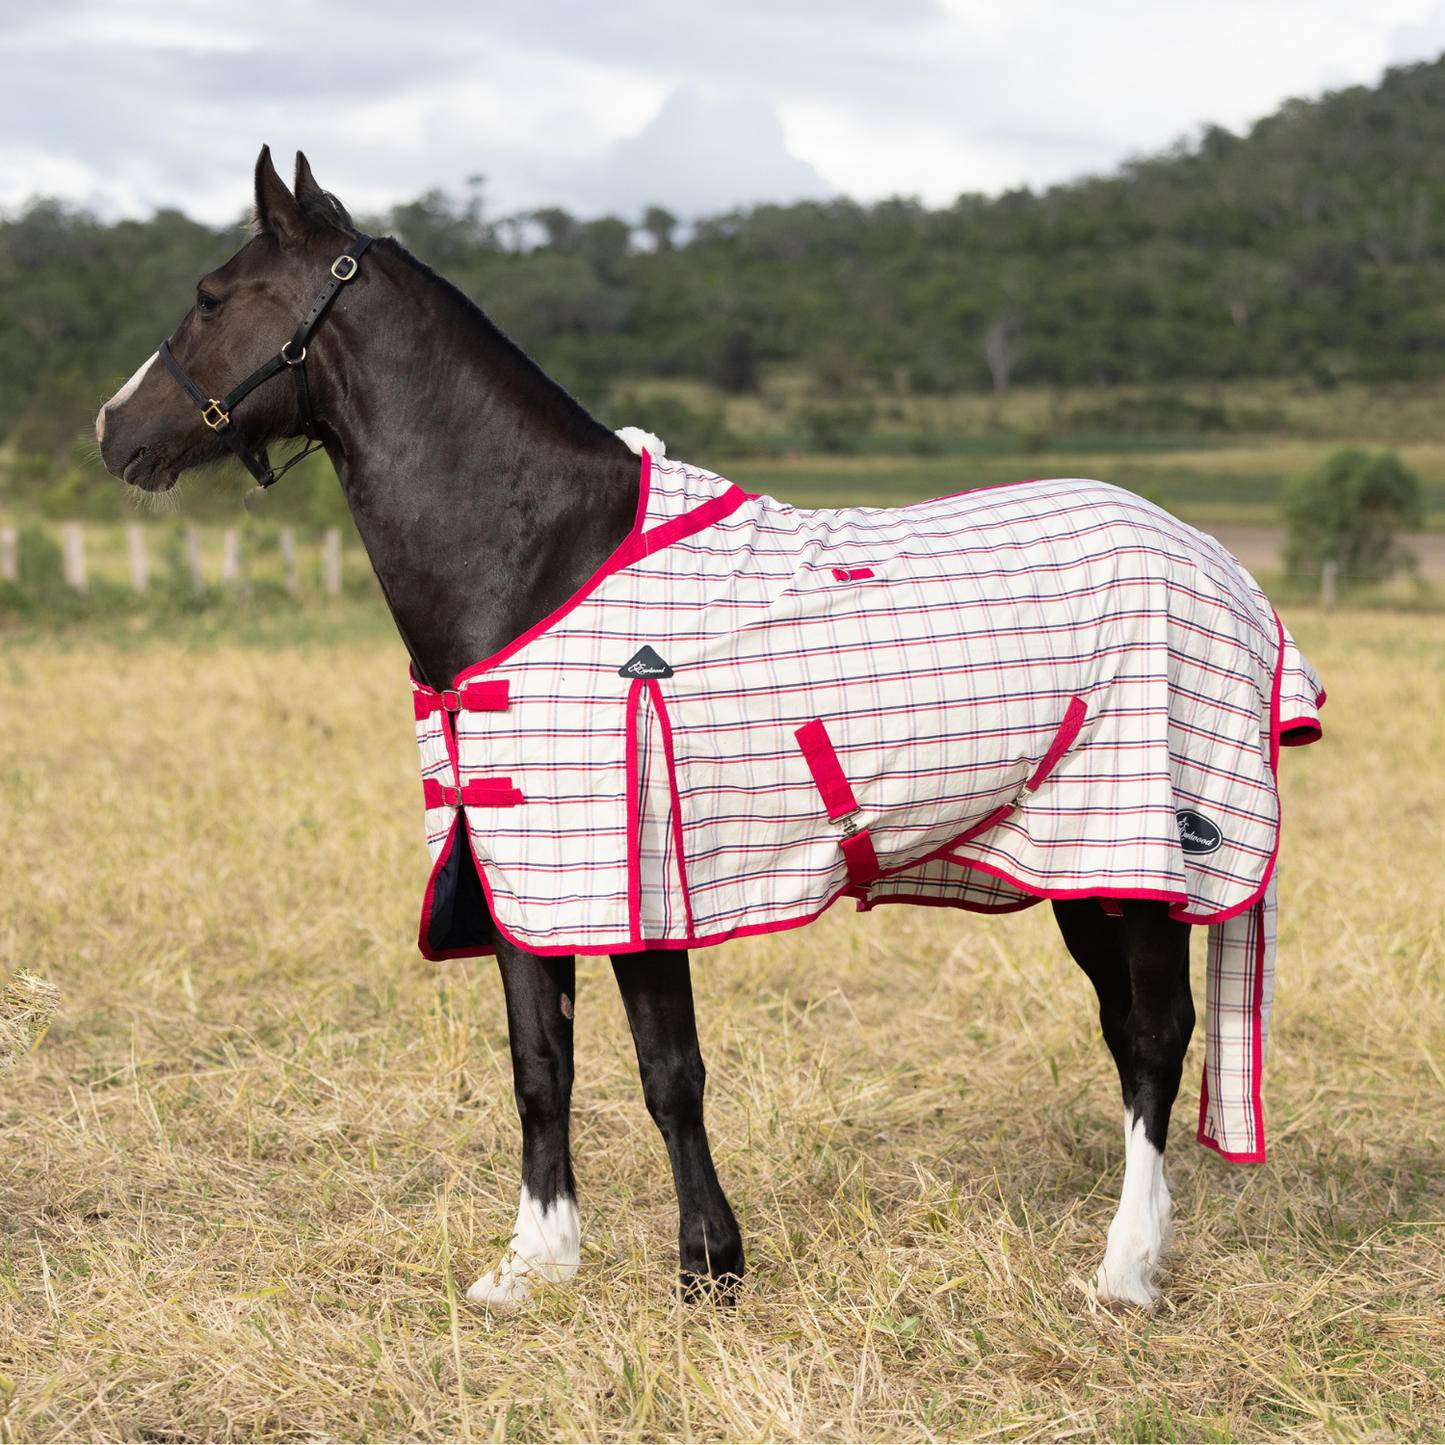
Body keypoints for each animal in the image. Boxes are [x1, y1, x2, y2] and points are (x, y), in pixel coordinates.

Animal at [98, 146, 1323, 1312]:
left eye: (211, 297)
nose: (113, 431)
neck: (542, 557)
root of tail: (1216, 560)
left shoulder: (641, 886)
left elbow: (667, 1073)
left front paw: (707, 1266)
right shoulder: (520, 873)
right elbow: (539, 1066)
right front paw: (532, 1264)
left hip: (1139, 850)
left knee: (1155, 1038)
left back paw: (1123, 1270)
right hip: (1074, 864)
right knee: (1128, 1035)